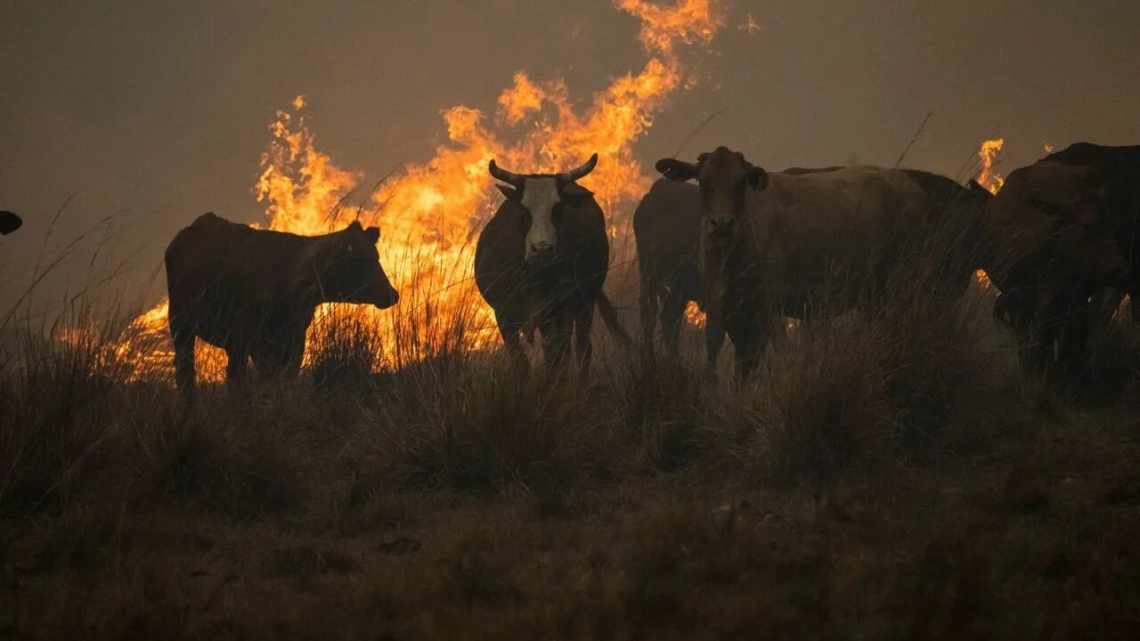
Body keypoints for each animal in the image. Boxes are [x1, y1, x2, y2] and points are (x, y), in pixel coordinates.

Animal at [165, 212, 401, 396]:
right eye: (360, 260)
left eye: (376, 256)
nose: (393, 294)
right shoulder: (242, 339)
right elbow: (238, 382)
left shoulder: (293, 339)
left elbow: (282, 380)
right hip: (180, 324)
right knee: (185, 372)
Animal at [471, 151, 633, 376]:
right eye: (524, 211)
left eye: (558, 209)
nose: (542, 249)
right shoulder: (504, 315)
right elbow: (520, 363)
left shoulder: (558, 311)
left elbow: (556, 358)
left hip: (583, 304)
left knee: (581, 349)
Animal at [652, 145, 989, 378]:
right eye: (703, 182)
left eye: (740, 183)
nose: (721, 224)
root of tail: (906, 184)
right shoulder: (727, 307)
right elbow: (733, 363)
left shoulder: (770, 304)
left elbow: (781, 354)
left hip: (904, 287)